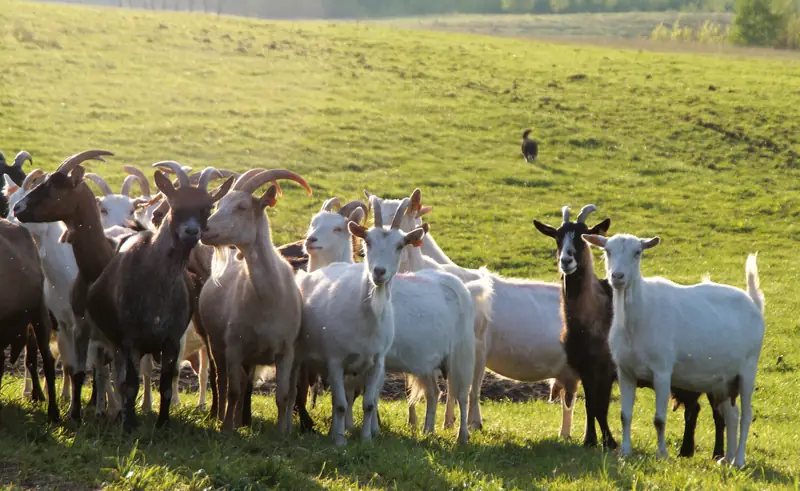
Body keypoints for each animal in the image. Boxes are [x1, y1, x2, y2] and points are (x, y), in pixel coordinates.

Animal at [198, 169, 310, 434]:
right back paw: (223, 418)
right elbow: (234, 391)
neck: (269, 299)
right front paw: (227, 430)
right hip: (217, 344)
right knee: (223, 381)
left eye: (242, 207)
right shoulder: (234, 347)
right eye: (218, 204)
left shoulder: (287, 351)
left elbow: (282, 395)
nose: (203, 230)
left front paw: (282, 434)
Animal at [378, 188, 580, 438]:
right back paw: (565, 433)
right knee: (568, 400)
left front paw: (468, 424)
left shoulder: (476, 346)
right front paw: (431, 423)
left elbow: (466, 388)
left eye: (402, 215)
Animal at [580, 234, 764, 468]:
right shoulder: (625, 371)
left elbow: (659, 419)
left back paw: (738, 460)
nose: (617, 276)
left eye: (637, 252)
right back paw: (727, 459)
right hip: (724, 380)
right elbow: (625, 415)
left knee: (746, 414)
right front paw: (625, 452)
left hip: (748, 368)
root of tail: (754, 305)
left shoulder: (662, 371)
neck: (637, 317)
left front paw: (662, 454)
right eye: (607, 251)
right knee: (732, 414)